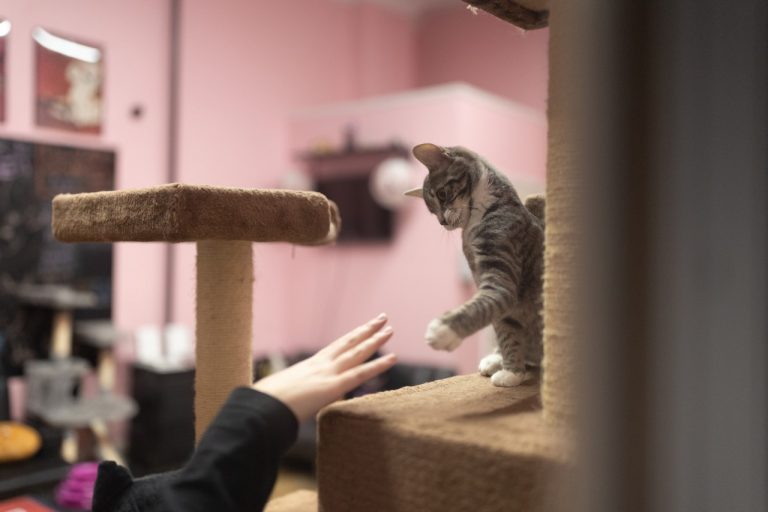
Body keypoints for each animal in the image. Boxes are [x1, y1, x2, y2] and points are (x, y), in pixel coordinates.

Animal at [404, 142, 544, 386]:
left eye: (442, 194)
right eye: (432, 212)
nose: (442, 221)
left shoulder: (499, 273)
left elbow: (489, 302)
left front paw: (443, 330)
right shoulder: (481, 278)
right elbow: (505, 331)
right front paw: (512, 371)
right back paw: (495, 360)